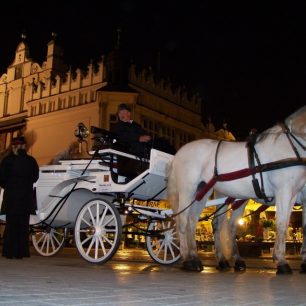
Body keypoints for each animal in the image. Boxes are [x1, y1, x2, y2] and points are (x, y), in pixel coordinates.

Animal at [167, 106, 306, 274]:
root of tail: (178, 153)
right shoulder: (284, 191)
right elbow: (281, 224)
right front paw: (282, 262)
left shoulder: (293, 194)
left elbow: (293, 225)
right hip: (187, 190)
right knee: (182, 220)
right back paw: (188, 260)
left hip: (203, 192)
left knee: (196, 221)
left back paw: (201, 258)